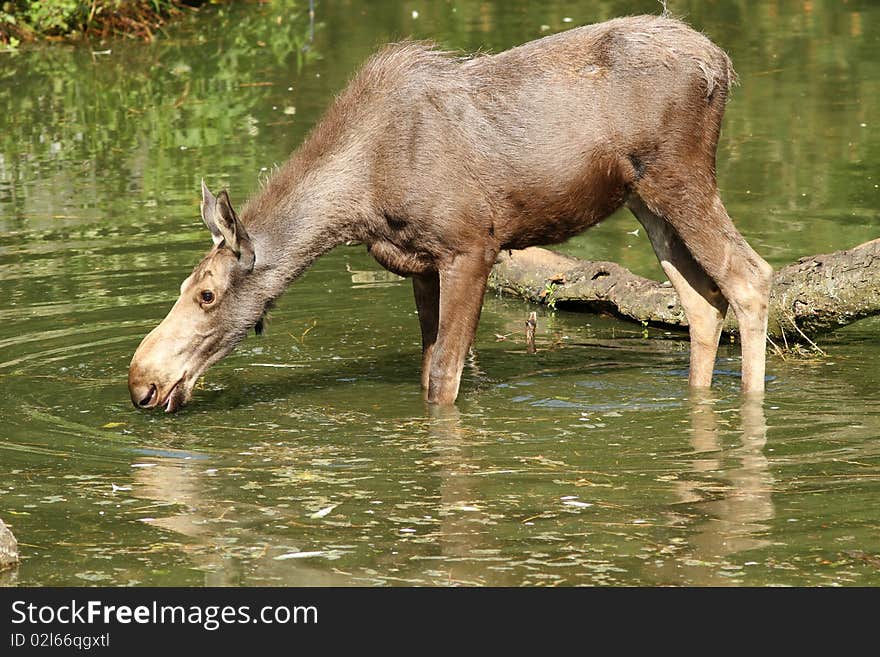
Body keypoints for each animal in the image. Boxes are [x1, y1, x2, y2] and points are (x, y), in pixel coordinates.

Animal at [129, 15, 768, 412]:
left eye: (206, 294)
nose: (141, 381)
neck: (360, 198)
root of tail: (722, 64)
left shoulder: (471, 246)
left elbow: (444, 379)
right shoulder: (421, 265)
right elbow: (427, 370)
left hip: (680, 175)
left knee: (749, 278)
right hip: (645, 199)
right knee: (702, 302)